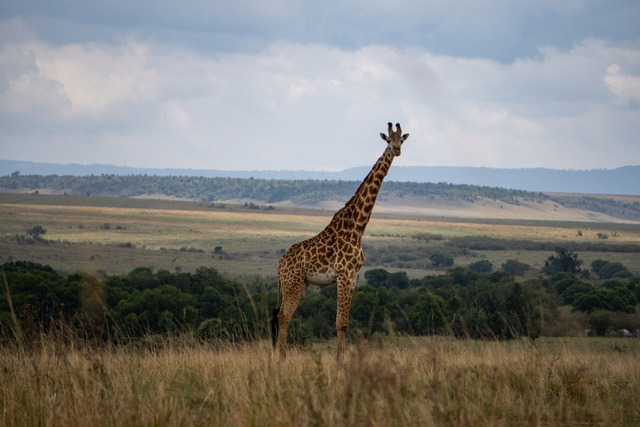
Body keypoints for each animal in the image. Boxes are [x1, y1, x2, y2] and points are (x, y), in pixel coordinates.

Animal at [272, 122, 409, 361]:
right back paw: (281, 359)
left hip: (302, 284)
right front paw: (339, 361)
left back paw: (282, 357)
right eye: (388, 140)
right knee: (282, 316)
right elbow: (340, 323)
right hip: (292, 283)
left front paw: (342, 358)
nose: (397, 150)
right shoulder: (344, 274)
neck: (357, 227)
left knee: (283, 315)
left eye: (401, 140)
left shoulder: (353, 276)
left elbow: (344, 323)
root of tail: (280, 264)